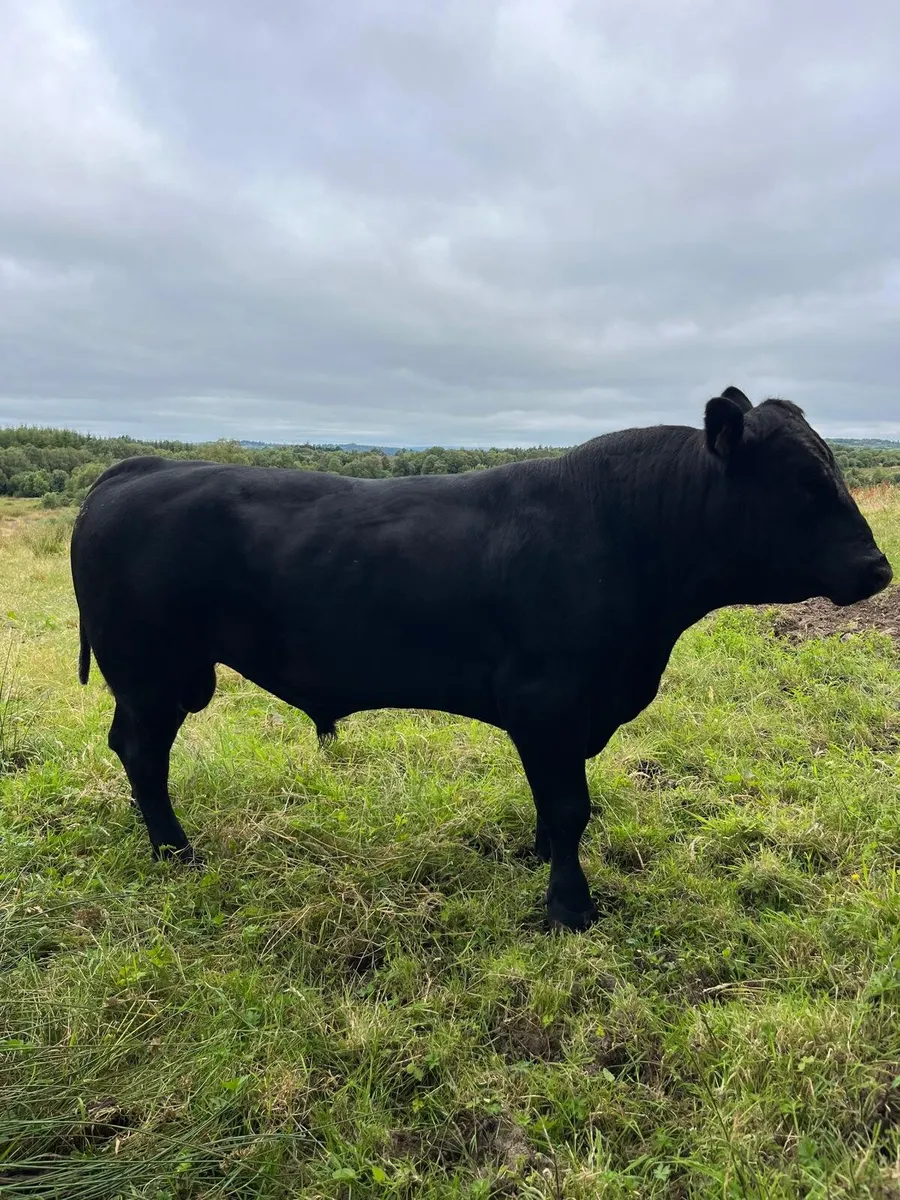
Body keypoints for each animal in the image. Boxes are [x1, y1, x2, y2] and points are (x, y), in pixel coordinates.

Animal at [70, 388, 892, 931]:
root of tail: (138, 468)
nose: (878, 568)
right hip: (150, 672)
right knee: (142, 751)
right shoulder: (548, 700)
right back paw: (175, 852)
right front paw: (569, 908)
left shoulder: (563, 716)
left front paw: (538, 859)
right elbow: (569, 806)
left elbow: (551, 801)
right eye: (803, 483)